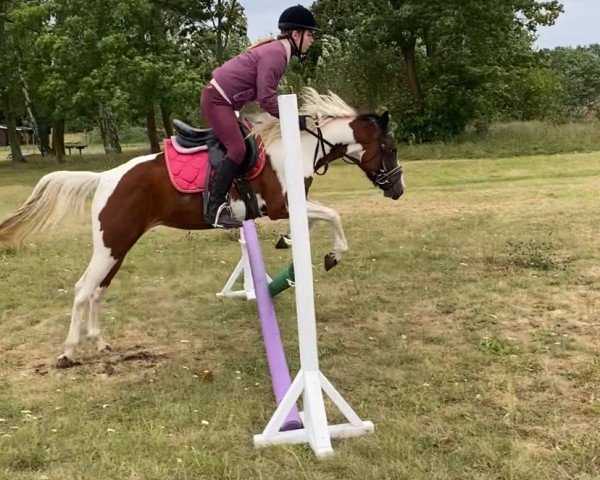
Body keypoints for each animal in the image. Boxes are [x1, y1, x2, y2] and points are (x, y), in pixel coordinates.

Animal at [0, 88, 406, 366]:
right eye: (390, 148)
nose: (398, 190)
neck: (297, 148)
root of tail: (104, 178)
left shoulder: (289, 209)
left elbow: (317, 220)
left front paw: (290, 242)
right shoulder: (284, 206)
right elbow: (334, 215)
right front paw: (332, 255)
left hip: (118, 246)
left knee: (98, 290)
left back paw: (99, 342)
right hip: (111, 245)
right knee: (83, 289)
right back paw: (69, 352)